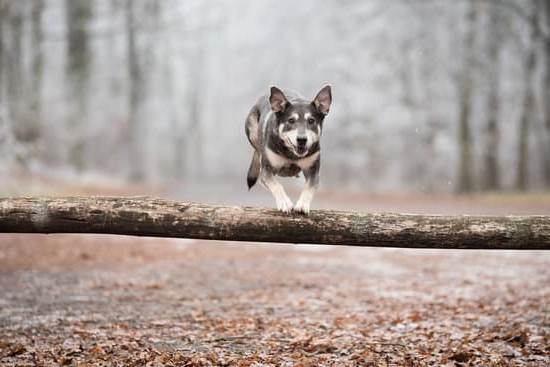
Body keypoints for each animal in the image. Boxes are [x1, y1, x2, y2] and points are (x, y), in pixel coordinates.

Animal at [248, 85, 334, 214]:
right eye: (291, 120)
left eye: (311, 121)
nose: (302, 139)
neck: (291, 154)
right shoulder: (266, 171)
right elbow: (276, 185)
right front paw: (284, 202)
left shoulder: (313, 171)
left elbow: (309, 187)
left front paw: (302, 204)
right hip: (252, 132)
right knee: (258, 151)